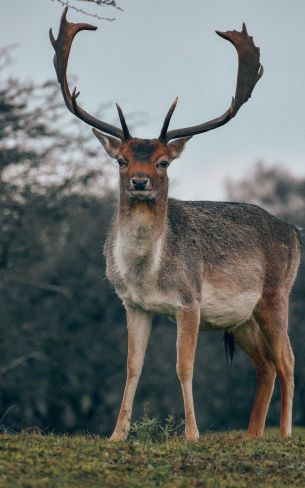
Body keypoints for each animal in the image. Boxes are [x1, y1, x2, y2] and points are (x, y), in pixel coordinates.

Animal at [50, 7, 300, 442]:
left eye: (163, 162)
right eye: (122, 159)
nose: (139, 181)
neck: (148, 272)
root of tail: (295, 231)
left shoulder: (190, 301)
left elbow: (185, 366)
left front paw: (192, 434)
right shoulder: (132, 304)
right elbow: (132, 366)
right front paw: (117, 434)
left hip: (276, 295)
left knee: (288, 360)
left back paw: (283, 433)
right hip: (242, 318)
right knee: (266, 366)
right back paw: (251, 435)